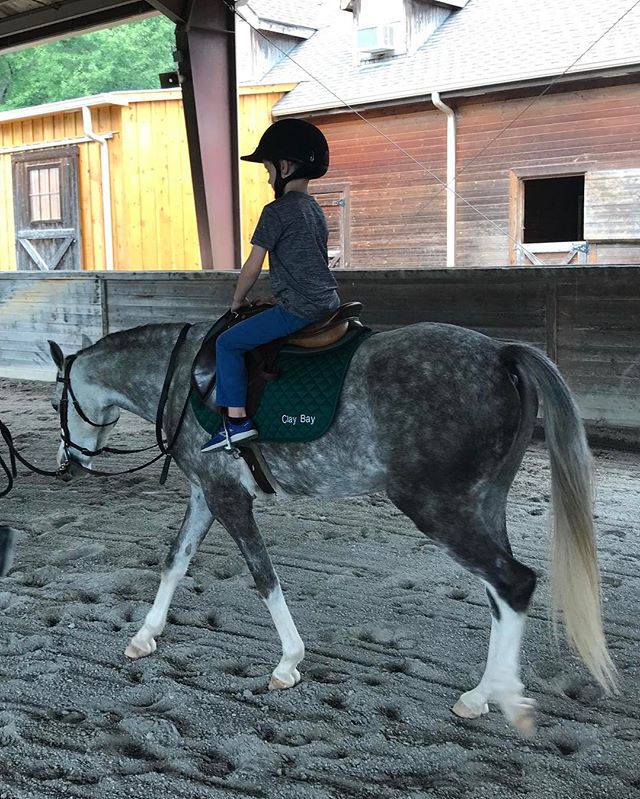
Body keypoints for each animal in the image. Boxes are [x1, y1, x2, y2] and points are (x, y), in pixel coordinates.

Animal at [47, 322, 616, 736]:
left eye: (58, 404)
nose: (67, 463)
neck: (188, 379)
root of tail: (499, 354)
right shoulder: (205, 493)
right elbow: (174, 561)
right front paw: (145, 636)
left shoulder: (230, 498)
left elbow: (264, 577)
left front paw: (288, 663)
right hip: (481, 506)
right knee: (500, 592)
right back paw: (479, 697)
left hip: (441, 510)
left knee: (514, 582)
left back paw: (508, 701)